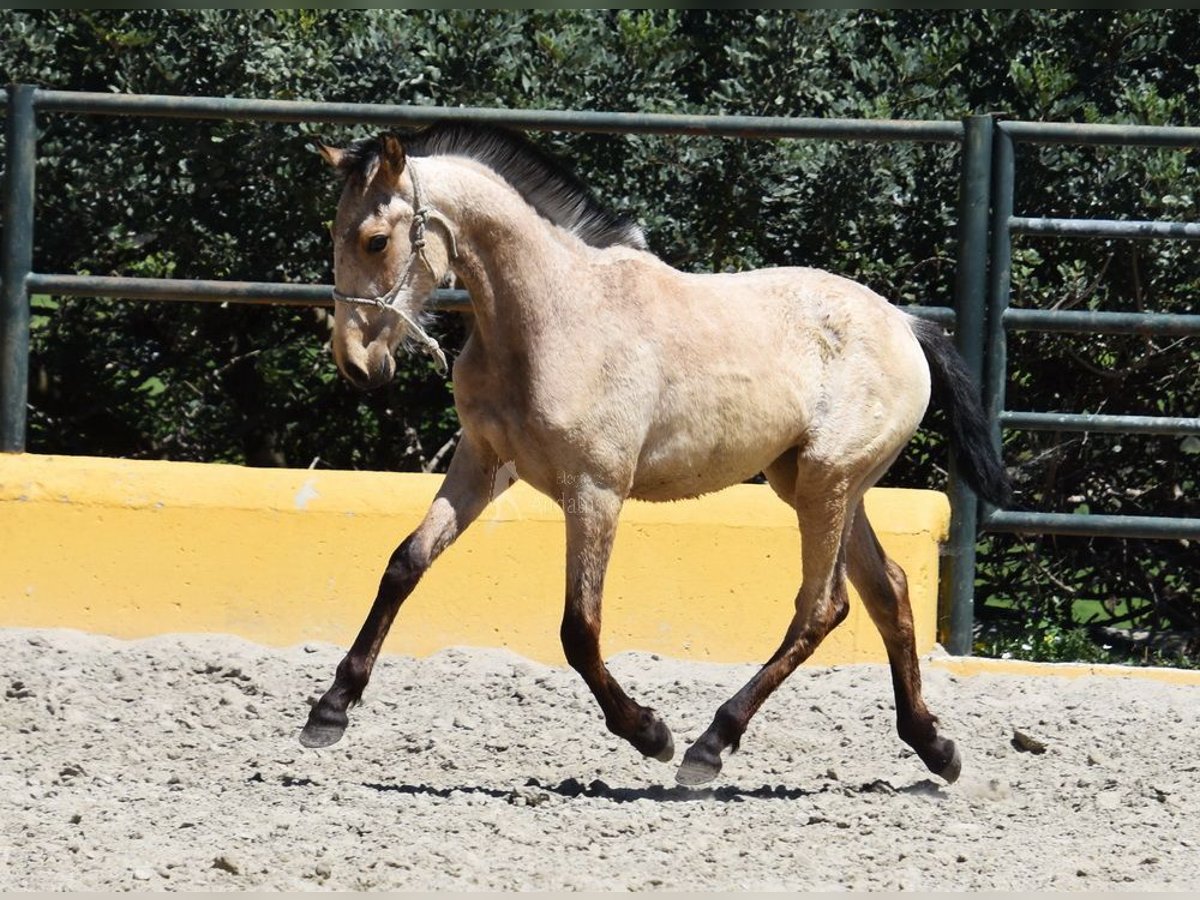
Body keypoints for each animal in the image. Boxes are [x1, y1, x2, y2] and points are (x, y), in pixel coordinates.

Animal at [300, 123, 1012, 787]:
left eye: (375, 240)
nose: (357, 365)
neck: (554, 317)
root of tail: (907, 325)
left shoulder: (595, 488)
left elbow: (579, 628)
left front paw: (649, 732)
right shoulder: (481, 464)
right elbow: (405, 564)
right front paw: (328, 711)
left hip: (825, 485)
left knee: (822, 607)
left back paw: (709, 746)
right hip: (819, 484)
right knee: (886, 591)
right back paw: (934, 746)